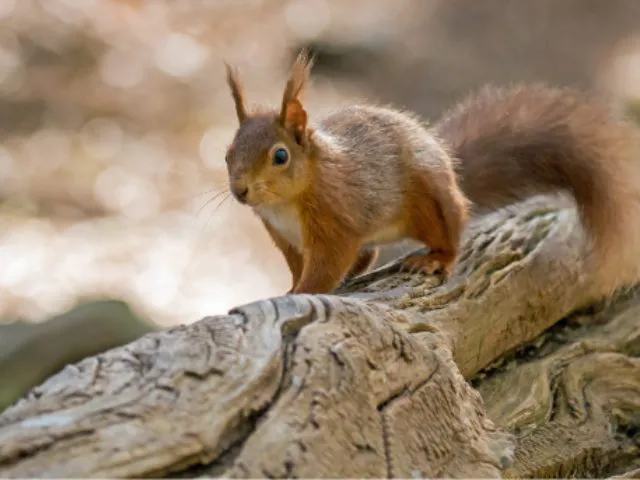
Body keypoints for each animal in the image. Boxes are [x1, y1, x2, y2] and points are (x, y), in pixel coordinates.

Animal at [223, 50, 640, 296]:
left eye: (280, 155)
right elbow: (299, 267)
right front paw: (288, 290)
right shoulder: (283, 236)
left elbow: (325, 267)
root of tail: (452, 173)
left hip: (431, 203)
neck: (286, 202)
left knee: (451, 236)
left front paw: (301, 294)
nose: (240, 190)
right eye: (227, 152)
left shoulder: (336, 219)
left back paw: (435, 258)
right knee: (368, 255)